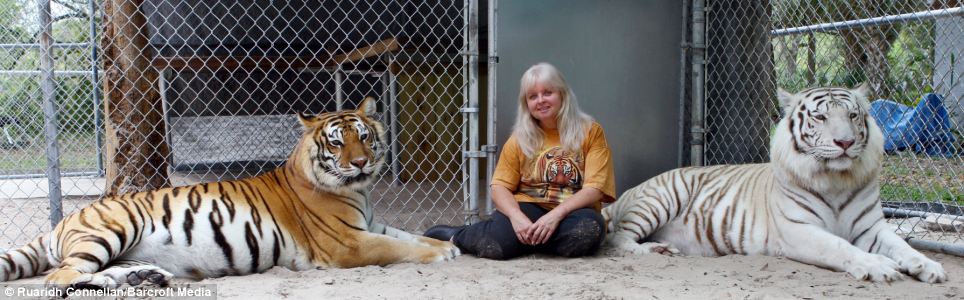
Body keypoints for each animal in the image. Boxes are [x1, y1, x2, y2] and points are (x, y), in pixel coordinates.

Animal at [608, 83, 944, 282]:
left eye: (852, 115)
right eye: (820, 118)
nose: (845, 142)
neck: (837, 179)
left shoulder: (871, 227)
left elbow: (901, 244)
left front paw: (927, 266)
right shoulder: (799, 229)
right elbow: (840, 246)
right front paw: (879, 266)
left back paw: (662, 248)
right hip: (661, 199)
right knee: (617, 238)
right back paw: (647, 251)